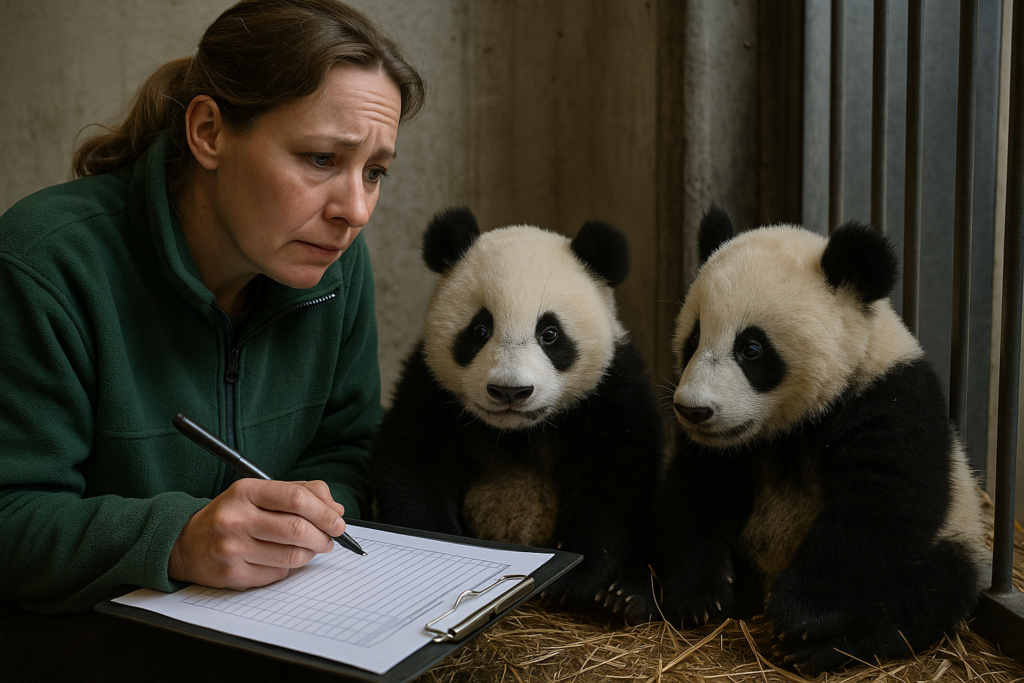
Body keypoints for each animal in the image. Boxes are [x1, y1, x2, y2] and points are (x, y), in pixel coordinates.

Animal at [370, 206, 663, 621]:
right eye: (479, 329)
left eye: (550, 333)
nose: (510, 391)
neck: (516, 432)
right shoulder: (430, 390)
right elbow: (411, 461)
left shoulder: (611, 389)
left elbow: (615, 479)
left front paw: (573, 580)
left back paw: (626, 597)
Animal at [653, 204, 985, 673]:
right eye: (695, 337)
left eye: (751, 349)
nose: (693, 410)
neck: (792, 425)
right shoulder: (721, 450)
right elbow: (697, 493)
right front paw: (701, 595)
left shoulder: (892, 399)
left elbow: (881, 504)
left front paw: (800, 614)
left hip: (955, 536)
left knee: (928, 593)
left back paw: (819, 647)